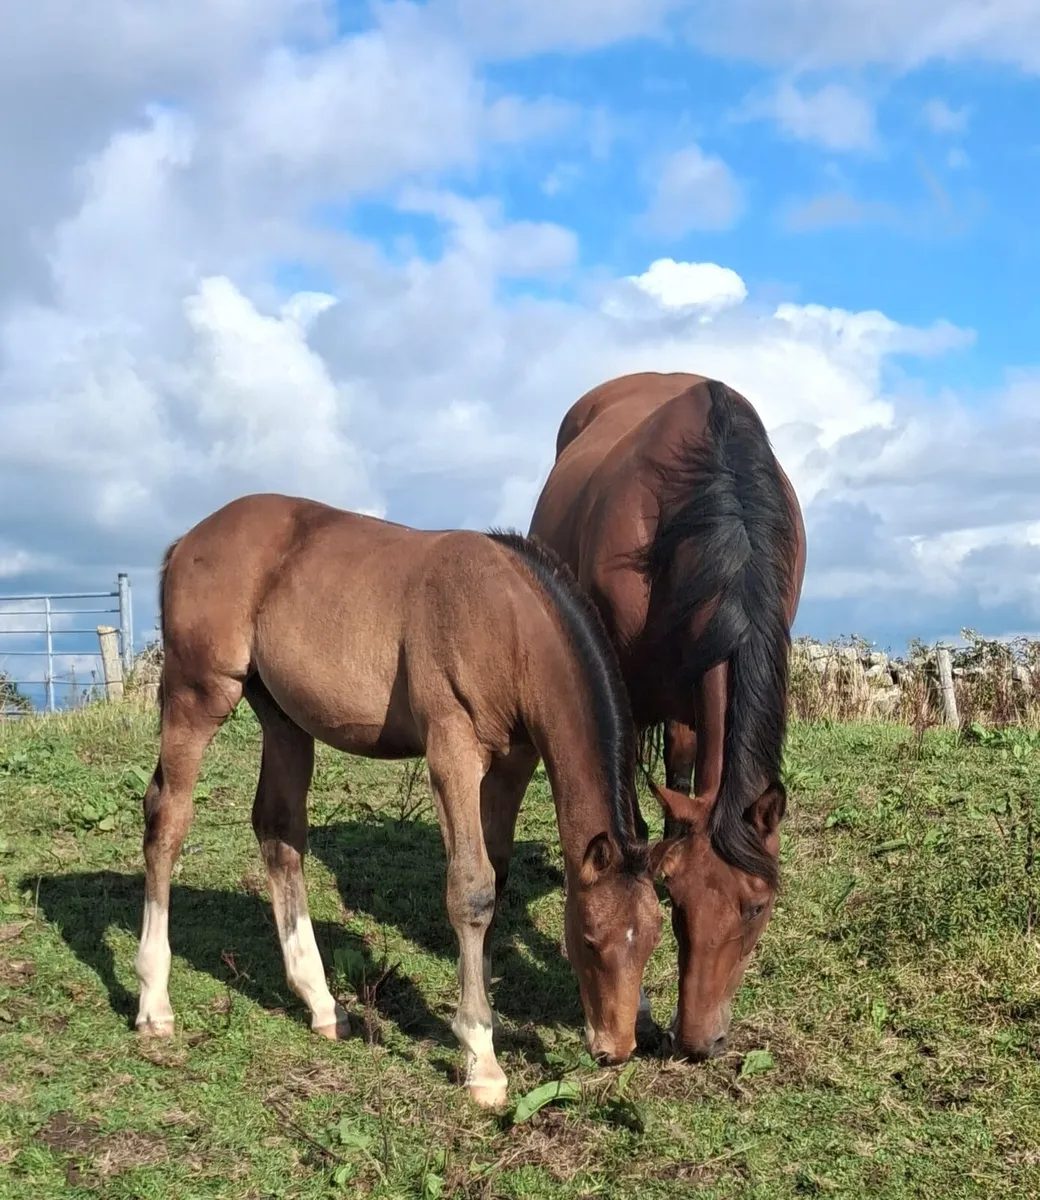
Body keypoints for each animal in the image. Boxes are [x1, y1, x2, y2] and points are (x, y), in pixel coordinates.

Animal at [134, 493, 664, 1107]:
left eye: (653, 940)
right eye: (590, 940)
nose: (615, 1049)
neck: (504, 618)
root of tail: (190, 540)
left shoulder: (512, 764)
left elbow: (496, 877)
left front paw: (484, 1014)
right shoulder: (451, 749)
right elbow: (472, 888)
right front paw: (481, 1056)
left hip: (283, 718)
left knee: (279, 831)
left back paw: (322, 1004)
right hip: (198, 695)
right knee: (167, 819)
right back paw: (154, 1002)